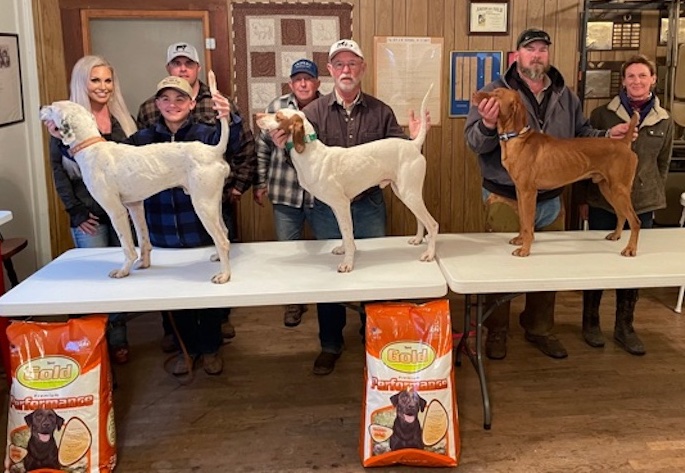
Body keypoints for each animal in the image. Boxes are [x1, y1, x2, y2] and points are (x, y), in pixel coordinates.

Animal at [40, 72, 232, 282]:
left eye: (52, 106)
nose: (40, 107)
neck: (92, 147)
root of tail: (213, 151)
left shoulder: (116, 211)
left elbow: (128, 248)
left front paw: (123, 270)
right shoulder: (135, 206)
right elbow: (144, 240)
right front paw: (144, 264)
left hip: (203, 206)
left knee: (222, 240)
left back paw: (224, 275)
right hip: (213, 204)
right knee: (226, 233)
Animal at [256, 86, 438, 272]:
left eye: (278, 116)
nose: (257, 116)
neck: (310, 153)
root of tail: (413, 144)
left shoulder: (342, 203)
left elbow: (347, 233)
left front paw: (348, 262)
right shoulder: (337, 206)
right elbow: (345, 233)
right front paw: (344, 249)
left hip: (410, 193)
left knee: (432, 224)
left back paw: (429, 254)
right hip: (404, 192)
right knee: (420, 219)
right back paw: (418, 239)